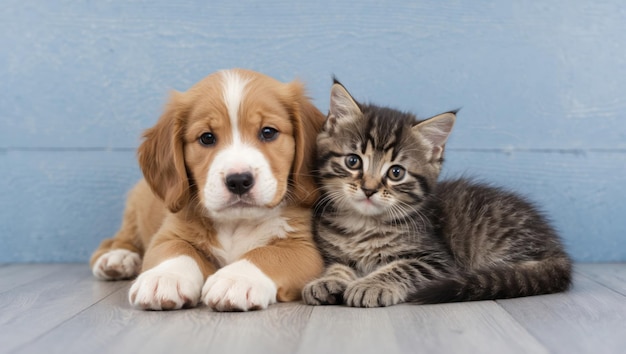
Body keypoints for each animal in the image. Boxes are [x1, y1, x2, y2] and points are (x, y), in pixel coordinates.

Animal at [91, 68, 326, 310]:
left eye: (268, 132)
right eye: (207, 137)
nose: (239, 180)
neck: (236, 223)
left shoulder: (305, 249)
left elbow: (267, 254)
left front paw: (236, 279)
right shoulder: (167, 234)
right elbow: (177, 249)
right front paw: (165, 278)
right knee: (118, 239)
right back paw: (117, 258)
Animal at [302, 81, 572, 306]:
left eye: (396, 172)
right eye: (353, 161)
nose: (369, 189)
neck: (363, 225)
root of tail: (556, 249)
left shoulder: (438, 260)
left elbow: (403, 267)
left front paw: (370, 285)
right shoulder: (332, 253)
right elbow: (338, 266)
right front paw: (328, 280)